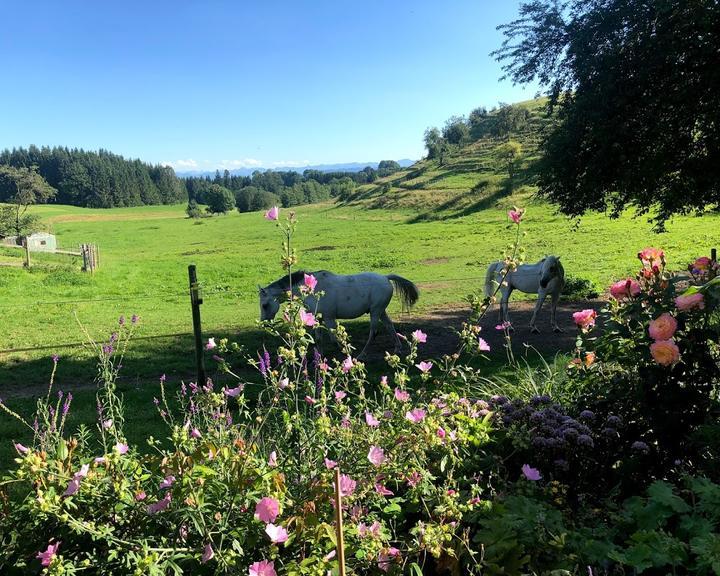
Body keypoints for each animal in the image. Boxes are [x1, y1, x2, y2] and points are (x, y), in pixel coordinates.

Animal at [258, 270, 420, 356]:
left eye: (265, 305)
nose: (264, 323)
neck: (313, 289)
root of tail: (386, 277)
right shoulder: (318, 319)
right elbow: (319, 340)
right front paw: (320, 358)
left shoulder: (329, 318)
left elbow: (334, 338)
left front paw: (344, 353)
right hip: (380, 311)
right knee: (389, 326)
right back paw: (397, 349)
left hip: (375, 311)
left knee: (373, 332)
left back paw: (362, 354)